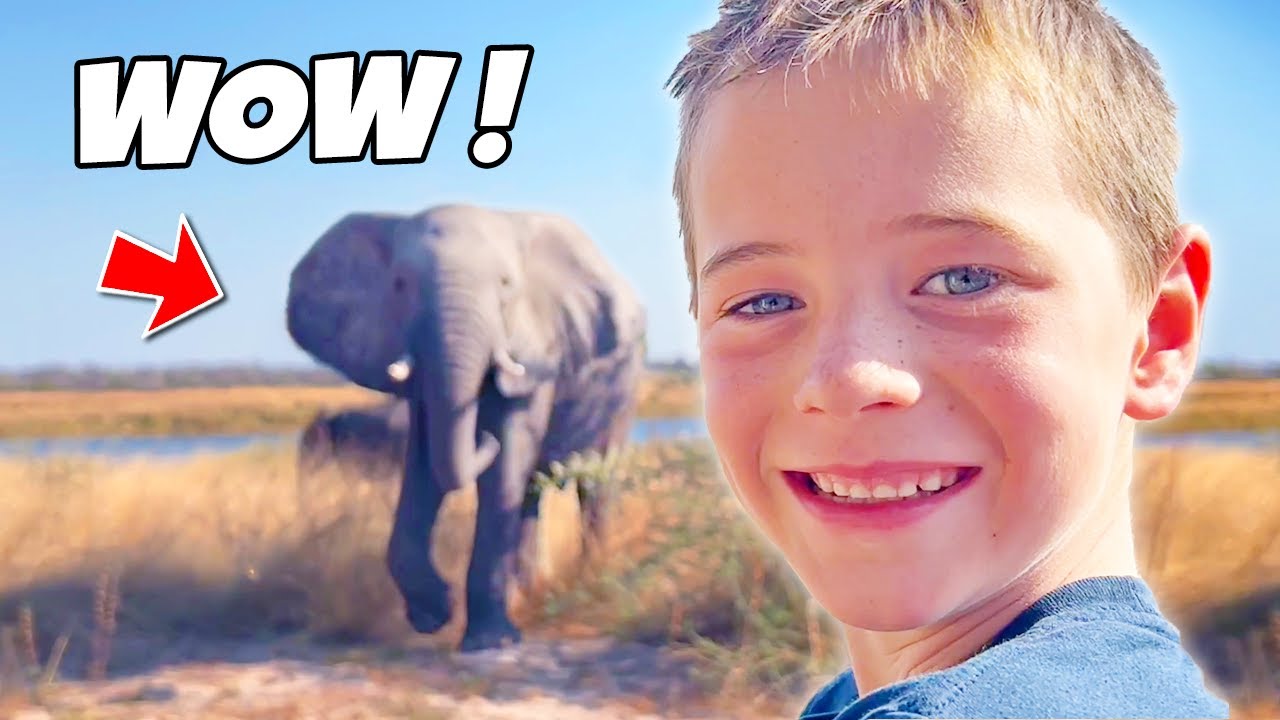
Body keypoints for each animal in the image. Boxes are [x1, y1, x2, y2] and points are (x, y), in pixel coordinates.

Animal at [285, 203, 647, 652]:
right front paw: (435, 613)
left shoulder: (539, 348)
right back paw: (528, 592)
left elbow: (504, 463)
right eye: (400, 285)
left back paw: (591, 580)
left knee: (595, 486)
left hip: (624, 390)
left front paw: (490, 641)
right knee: (530, 493)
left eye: (507, 285)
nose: (481, 433)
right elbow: (425, 466)